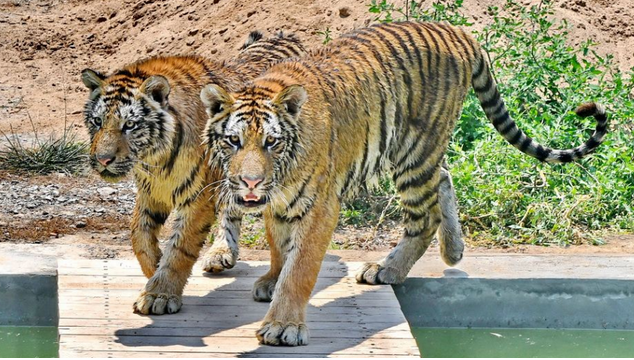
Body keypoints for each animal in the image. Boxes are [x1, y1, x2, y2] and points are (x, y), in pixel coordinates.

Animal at [79, 31, 306, 316]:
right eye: (98, 121)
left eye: (129, 125)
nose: (103, 160)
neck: (155, 159)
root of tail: (286, 35)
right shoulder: (152, 191)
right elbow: (138, 235)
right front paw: (154, 267)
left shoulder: (197, 197)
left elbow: (180, 247)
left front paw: (159, 294)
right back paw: (220, 253)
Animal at [200, 20, 604, 346]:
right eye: (233, 141)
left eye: (272, 142)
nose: (250, 182)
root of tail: (456, 31)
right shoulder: (279, 202)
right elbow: (279, 246)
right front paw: (271, 280)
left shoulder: (321, 206)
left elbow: (300, 267)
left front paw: (284, 325)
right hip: (422, 152)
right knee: (444, 177)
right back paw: (453, 250)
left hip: (414, 149)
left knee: (425, 217)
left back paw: (387, 269)